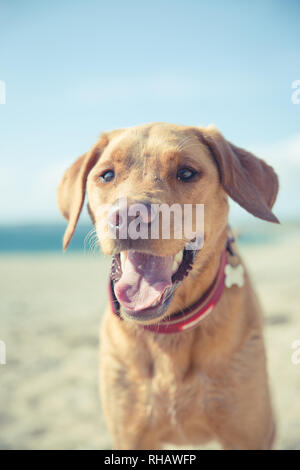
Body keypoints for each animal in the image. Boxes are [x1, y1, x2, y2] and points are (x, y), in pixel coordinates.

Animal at [56, 123, 278, 450]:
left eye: (186, 172)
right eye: (107, 175)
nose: (129, 216)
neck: (170, 332)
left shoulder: (248, 436)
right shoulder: (131, 437)